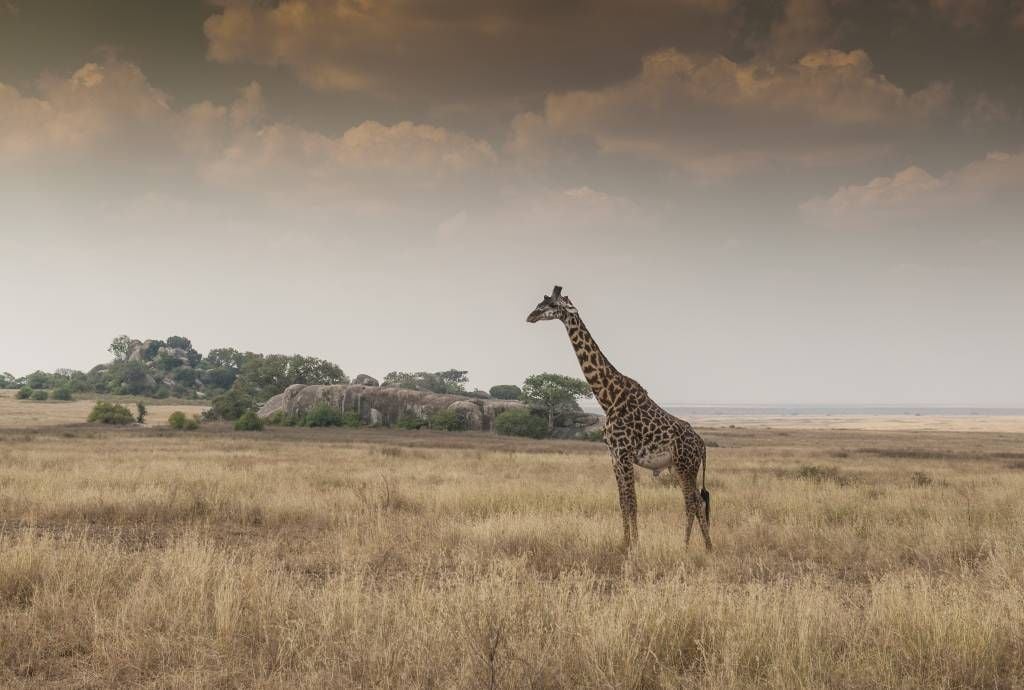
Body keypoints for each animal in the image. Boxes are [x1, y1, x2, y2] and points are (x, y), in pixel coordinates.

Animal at [528, 282, 712, 548]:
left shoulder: (624, 453)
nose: (530, 316)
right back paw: (703, 547)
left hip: (686, 465)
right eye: (540, 303)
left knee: (693, 502)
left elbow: (632, 502)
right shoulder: (613, 456)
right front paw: (624, 543)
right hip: (679, 467)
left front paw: (635, 546)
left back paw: (690, 547)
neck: (608, 397)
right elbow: (623, 502)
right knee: (696, 501)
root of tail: (702, 445)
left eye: (551, 304)